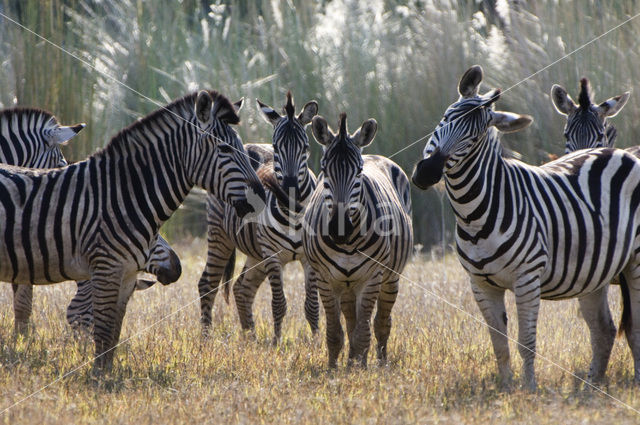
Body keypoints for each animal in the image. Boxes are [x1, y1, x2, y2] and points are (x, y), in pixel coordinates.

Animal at [196, 91, 318, 340]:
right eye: (276, 147)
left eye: (306, 147)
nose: (290, 190)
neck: (294, 213)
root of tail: (247, 144)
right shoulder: (272, 255)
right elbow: (279, 303)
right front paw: (277, 343)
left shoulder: (307, 257)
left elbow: (311, 306)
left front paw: (318, 341)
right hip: (220, 235)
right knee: (207, 285)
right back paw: (205, 340)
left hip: (255, 251)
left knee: (242, 287)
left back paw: (250, 338)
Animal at [302, 112, 412, 368]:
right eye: (324, 170)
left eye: (359, 171)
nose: (338, 228)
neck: (348, 243)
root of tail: (374, 155)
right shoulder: (325, 278)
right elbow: (335, 331)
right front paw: (334, 368)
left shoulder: (372, 277)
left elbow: (364, 331)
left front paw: (361, 369)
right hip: (346, 285)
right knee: (351, 321)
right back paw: (351, 360)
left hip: (390, 278)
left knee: (381, 323)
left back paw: (380, 362)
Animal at [410, 63, 640, 388]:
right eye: (445, 118)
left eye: (475, 138)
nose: (427, 172)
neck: (474, 213)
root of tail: (619, 152)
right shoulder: (480, 284)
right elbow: (499, 343)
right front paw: (506, 387)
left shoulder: (527, 278)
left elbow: (526, 342)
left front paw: (529, 389)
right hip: (594, 273)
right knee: (603, 329)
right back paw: (590, 385)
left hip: (635, 262)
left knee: (634, 328)